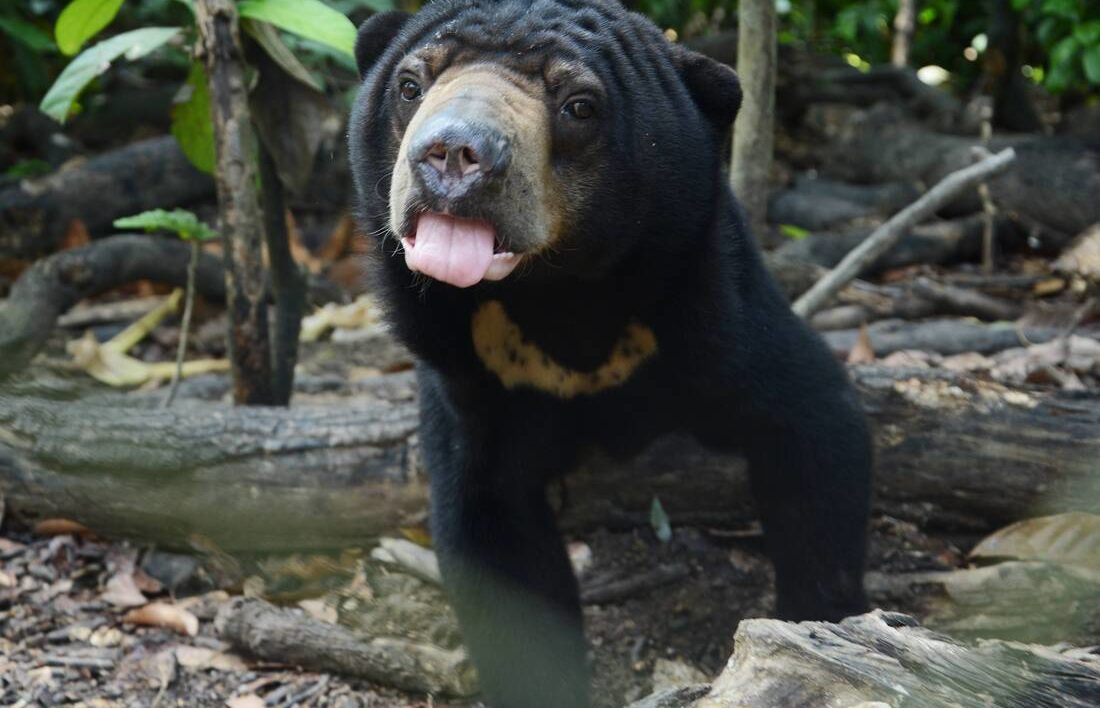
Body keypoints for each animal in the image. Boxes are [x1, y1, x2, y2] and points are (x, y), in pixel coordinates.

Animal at [347, 2, 871, 703]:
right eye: (409, 86)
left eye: (579, 106)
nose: (454, 153)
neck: (555, 293)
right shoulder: (469, 376)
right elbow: (490, 523)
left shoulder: (715, 308)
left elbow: (815, 430)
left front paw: (820, 633)